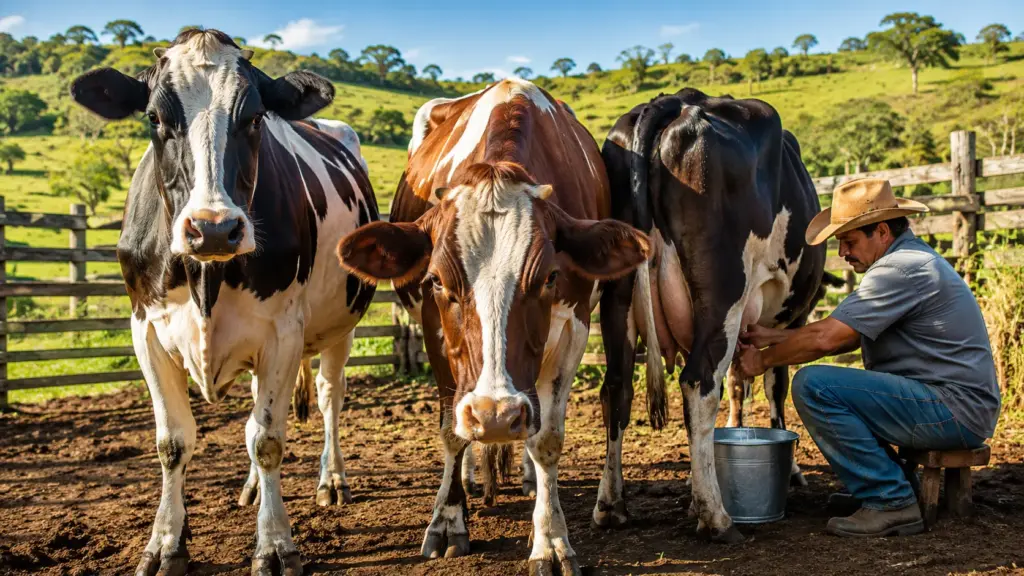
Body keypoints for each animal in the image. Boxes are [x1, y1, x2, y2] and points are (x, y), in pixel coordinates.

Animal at [68, 29, 378, 576]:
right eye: (154, 117)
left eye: (254, 117)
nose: (213, 228)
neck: (204, 277)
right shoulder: (146, 329)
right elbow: (173, 442)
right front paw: (166, 542)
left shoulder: (283, 332)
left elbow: (268, 439)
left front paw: (274, 545)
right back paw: (252, 488)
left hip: (341, 325)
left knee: (328, 396)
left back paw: (331, 479)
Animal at [337, 78, 652, 575]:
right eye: (437, 280)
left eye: (549, 277)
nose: (495, 416)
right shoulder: (434, 330)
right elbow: (450, 430)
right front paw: (448, 519)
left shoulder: (573, 329)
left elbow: (547, 438)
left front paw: (550, 539)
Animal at [597, 88, 827, 541]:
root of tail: (678, 102)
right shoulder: (790, 320)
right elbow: (776, 388)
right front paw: (792, 470)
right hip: (723, 292)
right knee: (699, 384)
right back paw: (716, 517)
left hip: (616, 296)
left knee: (616, 387)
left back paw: (612, 505)